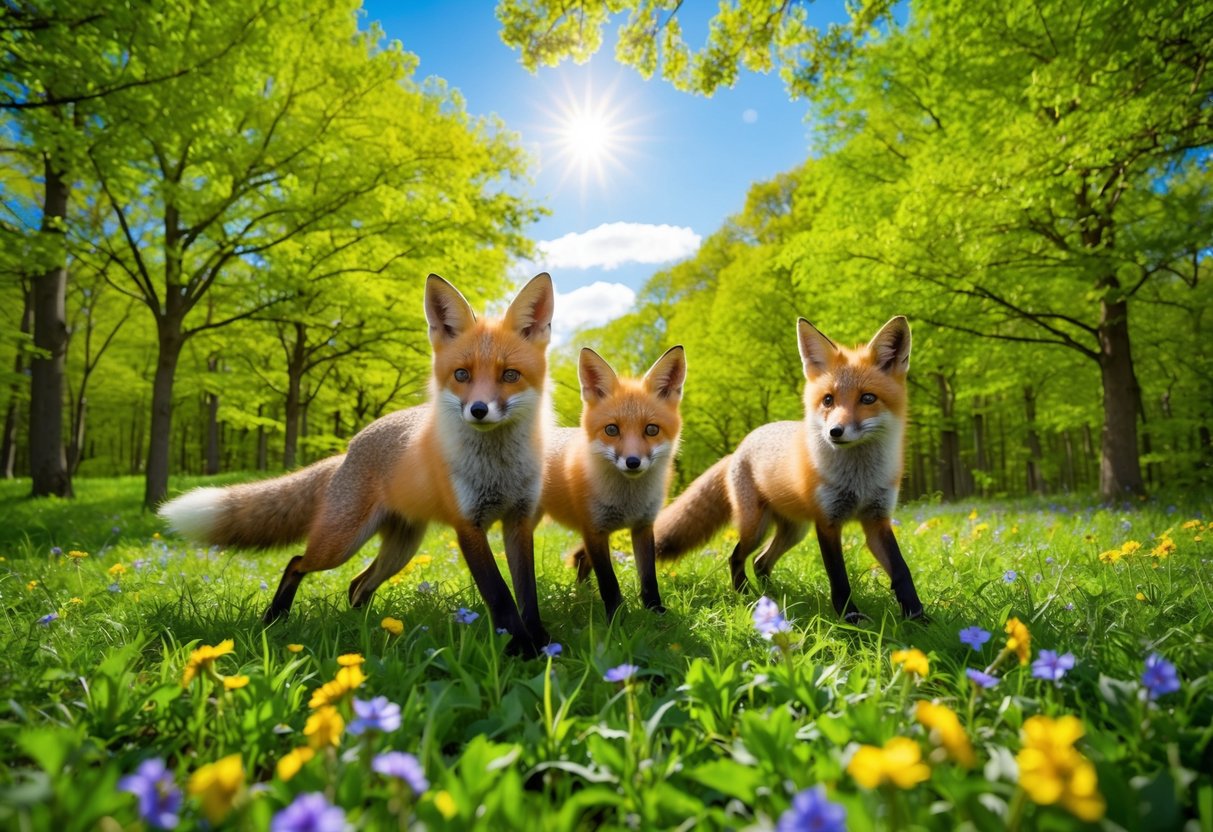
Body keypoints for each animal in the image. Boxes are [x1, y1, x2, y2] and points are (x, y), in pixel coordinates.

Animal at [158, 273, 556, 656]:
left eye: (509, 375)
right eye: (461, 375)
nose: (478, 410)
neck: (499, 469)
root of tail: (348, 449)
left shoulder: (519, 521)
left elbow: (527, 594)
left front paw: (541, 642)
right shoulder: (468, 526)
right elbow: (501, 597)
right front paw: (524, 650)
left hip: (400, 549)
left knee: (356, 585)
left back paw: (366, 628)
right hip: (340, 543)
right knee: (298, 562)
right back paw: (276, 618)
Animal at [538, 346, 686, 619]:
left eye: (651, 429)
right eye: (611, 430)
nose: (632, 462)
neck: (626, 502)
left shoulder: (643, 526)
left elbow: (649, 577)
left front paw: (656, 613)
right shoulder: (595, 530)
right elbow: (608, 581)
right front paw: (617, 618)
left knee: (581, 561)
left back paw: (582, 596)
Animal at [652, 316, 925, 622]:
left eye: (868, 398)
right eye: (828, 400)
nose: (835, 432)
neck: (859, 480)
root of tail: (739, 448)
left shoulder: (877, 519)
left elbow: (901, 570)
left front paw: (918, 617)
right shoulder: (827, 522)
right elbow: (839, 578)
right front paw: (850, 618)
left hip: (794, 531)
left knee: (761, 562)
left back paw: (773, 596)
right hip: (756, 526)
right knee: (736, 556)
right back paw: (746, 595)